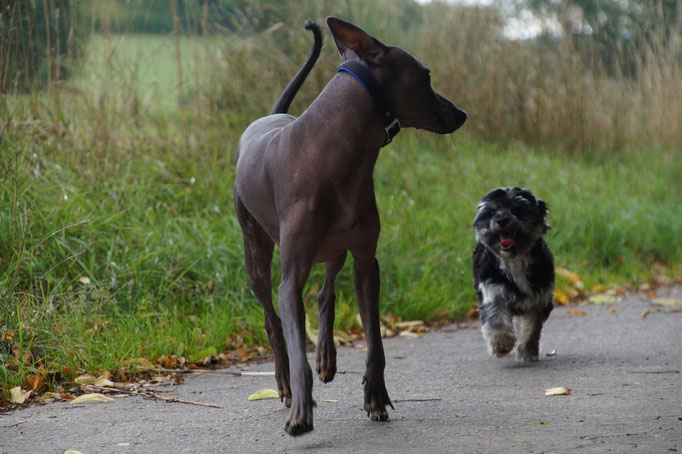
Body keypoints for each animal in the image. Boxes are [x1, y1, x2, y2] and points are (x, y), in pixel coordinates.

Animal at [231, 17, 464, 436]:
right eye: (425, 75)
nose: (461, 113)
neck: (337, 156)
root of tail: (270, 114)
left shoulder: (366, 261)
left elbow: (375, 341)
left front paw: (375, 395)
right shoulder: (291, 278)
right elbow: (294, 341)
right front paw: (300, 410)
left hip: (335, 250)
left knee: (326, 294)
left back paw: (326, 355)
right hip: (255, 251)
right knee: (272, 321)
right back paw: (285, 385)